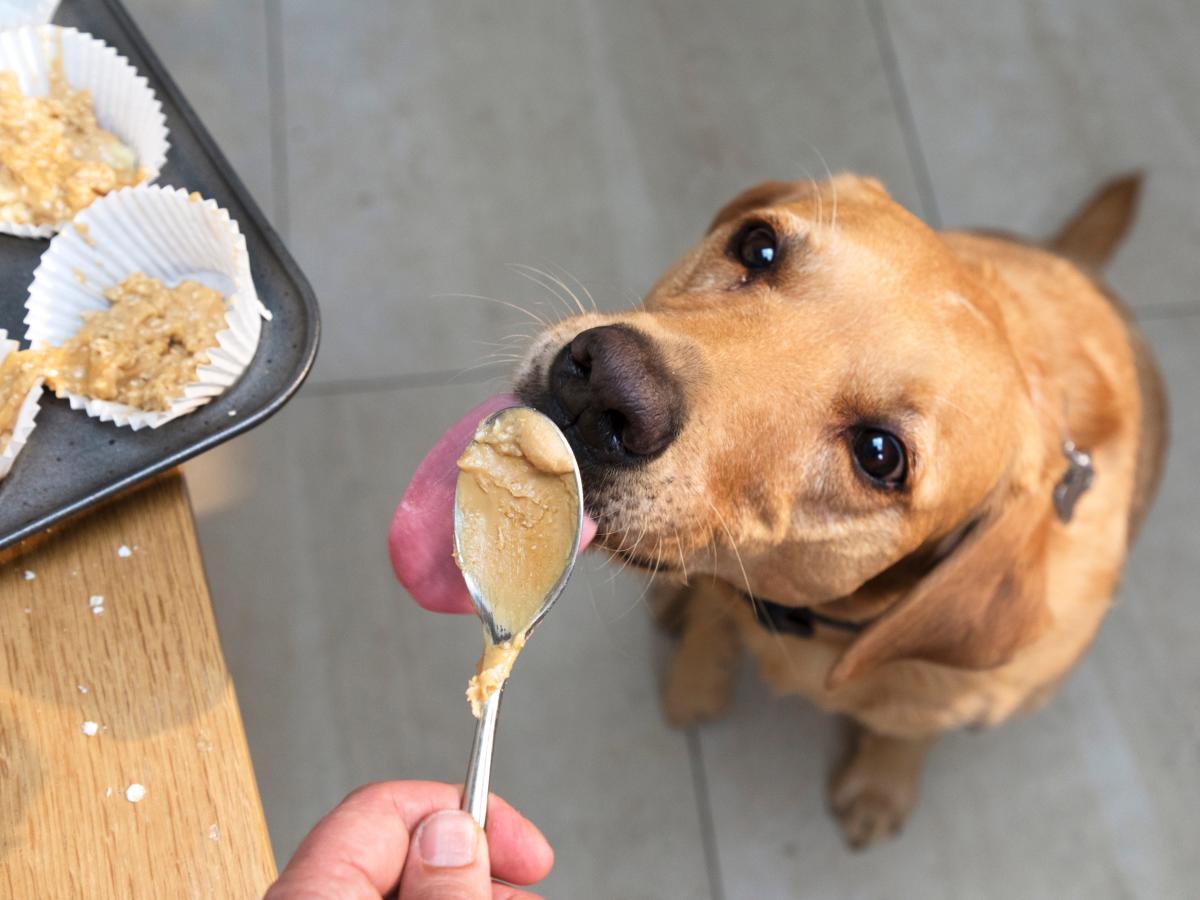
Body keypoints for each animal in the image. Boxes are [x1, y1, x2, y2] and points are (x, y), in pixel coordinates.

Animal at [511, 174, 1166, 844]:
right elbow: (712, 620)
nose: (605, 388)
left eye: (879, 454)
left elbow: (906, 731)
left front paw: (880, 786)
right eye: (758, 246)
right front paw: (696, 678)